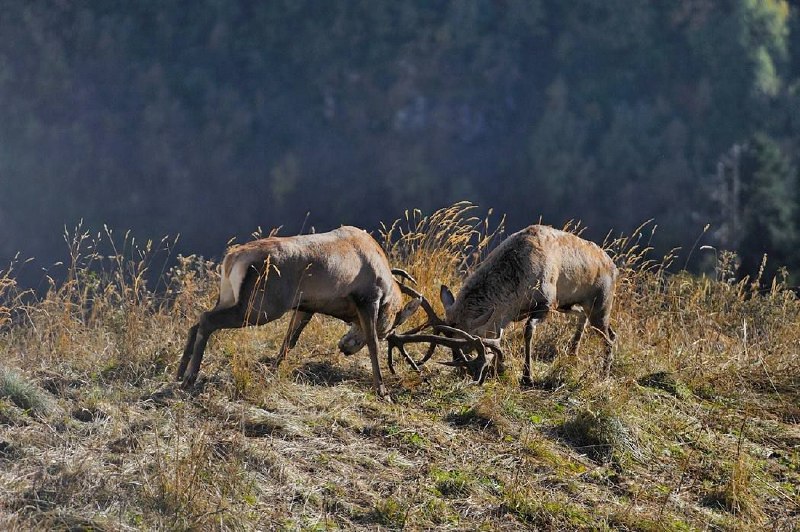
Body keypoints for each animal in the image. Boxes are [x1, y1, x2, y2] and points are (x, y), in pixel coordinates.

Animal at [177, 227, 422, 396]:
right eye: (388, 330)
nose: (345, 347)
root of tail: (231, 259)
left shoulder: (306, 306)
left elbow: (289, 341)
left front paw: (272, 371)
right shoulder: (367, 298)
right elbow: (372, 344)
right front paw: (382, 390)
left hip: (229, 297)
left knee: (195, 323)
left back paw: (179, 372)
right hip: (260, 308)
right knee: (206, 319)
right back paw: (190, 377)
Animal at [388, 224, 620, 386]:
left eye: (468, 345)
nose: (463, 371)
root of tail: (614, 267)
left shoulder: (547, 301)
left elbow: (528, 331)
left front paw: (527, 377)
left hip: (602, 304)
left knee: (610, 336)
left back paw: (604, 373)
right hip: (574, 306)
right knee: (588, 321)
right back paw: (573, 356)